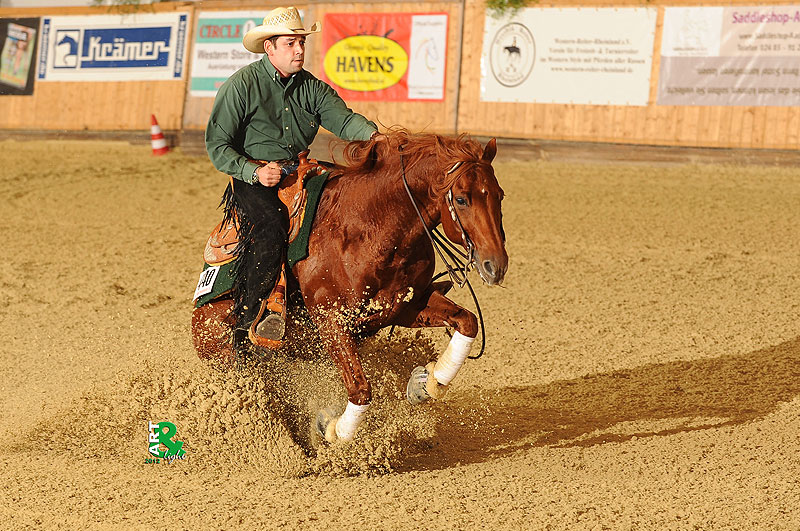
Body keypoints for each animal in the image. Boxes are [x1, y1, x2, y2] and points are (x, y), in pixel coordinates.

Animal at [192, 133, 506, 444]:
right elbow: (360, 389)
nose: (496, 265)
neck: (370, 230)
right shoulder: (331, 320)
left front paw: (424, 382)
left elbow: (467, 322)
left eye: (499, 195)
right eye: (462, 199)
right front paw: (331, 430)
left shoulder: (404, 307)